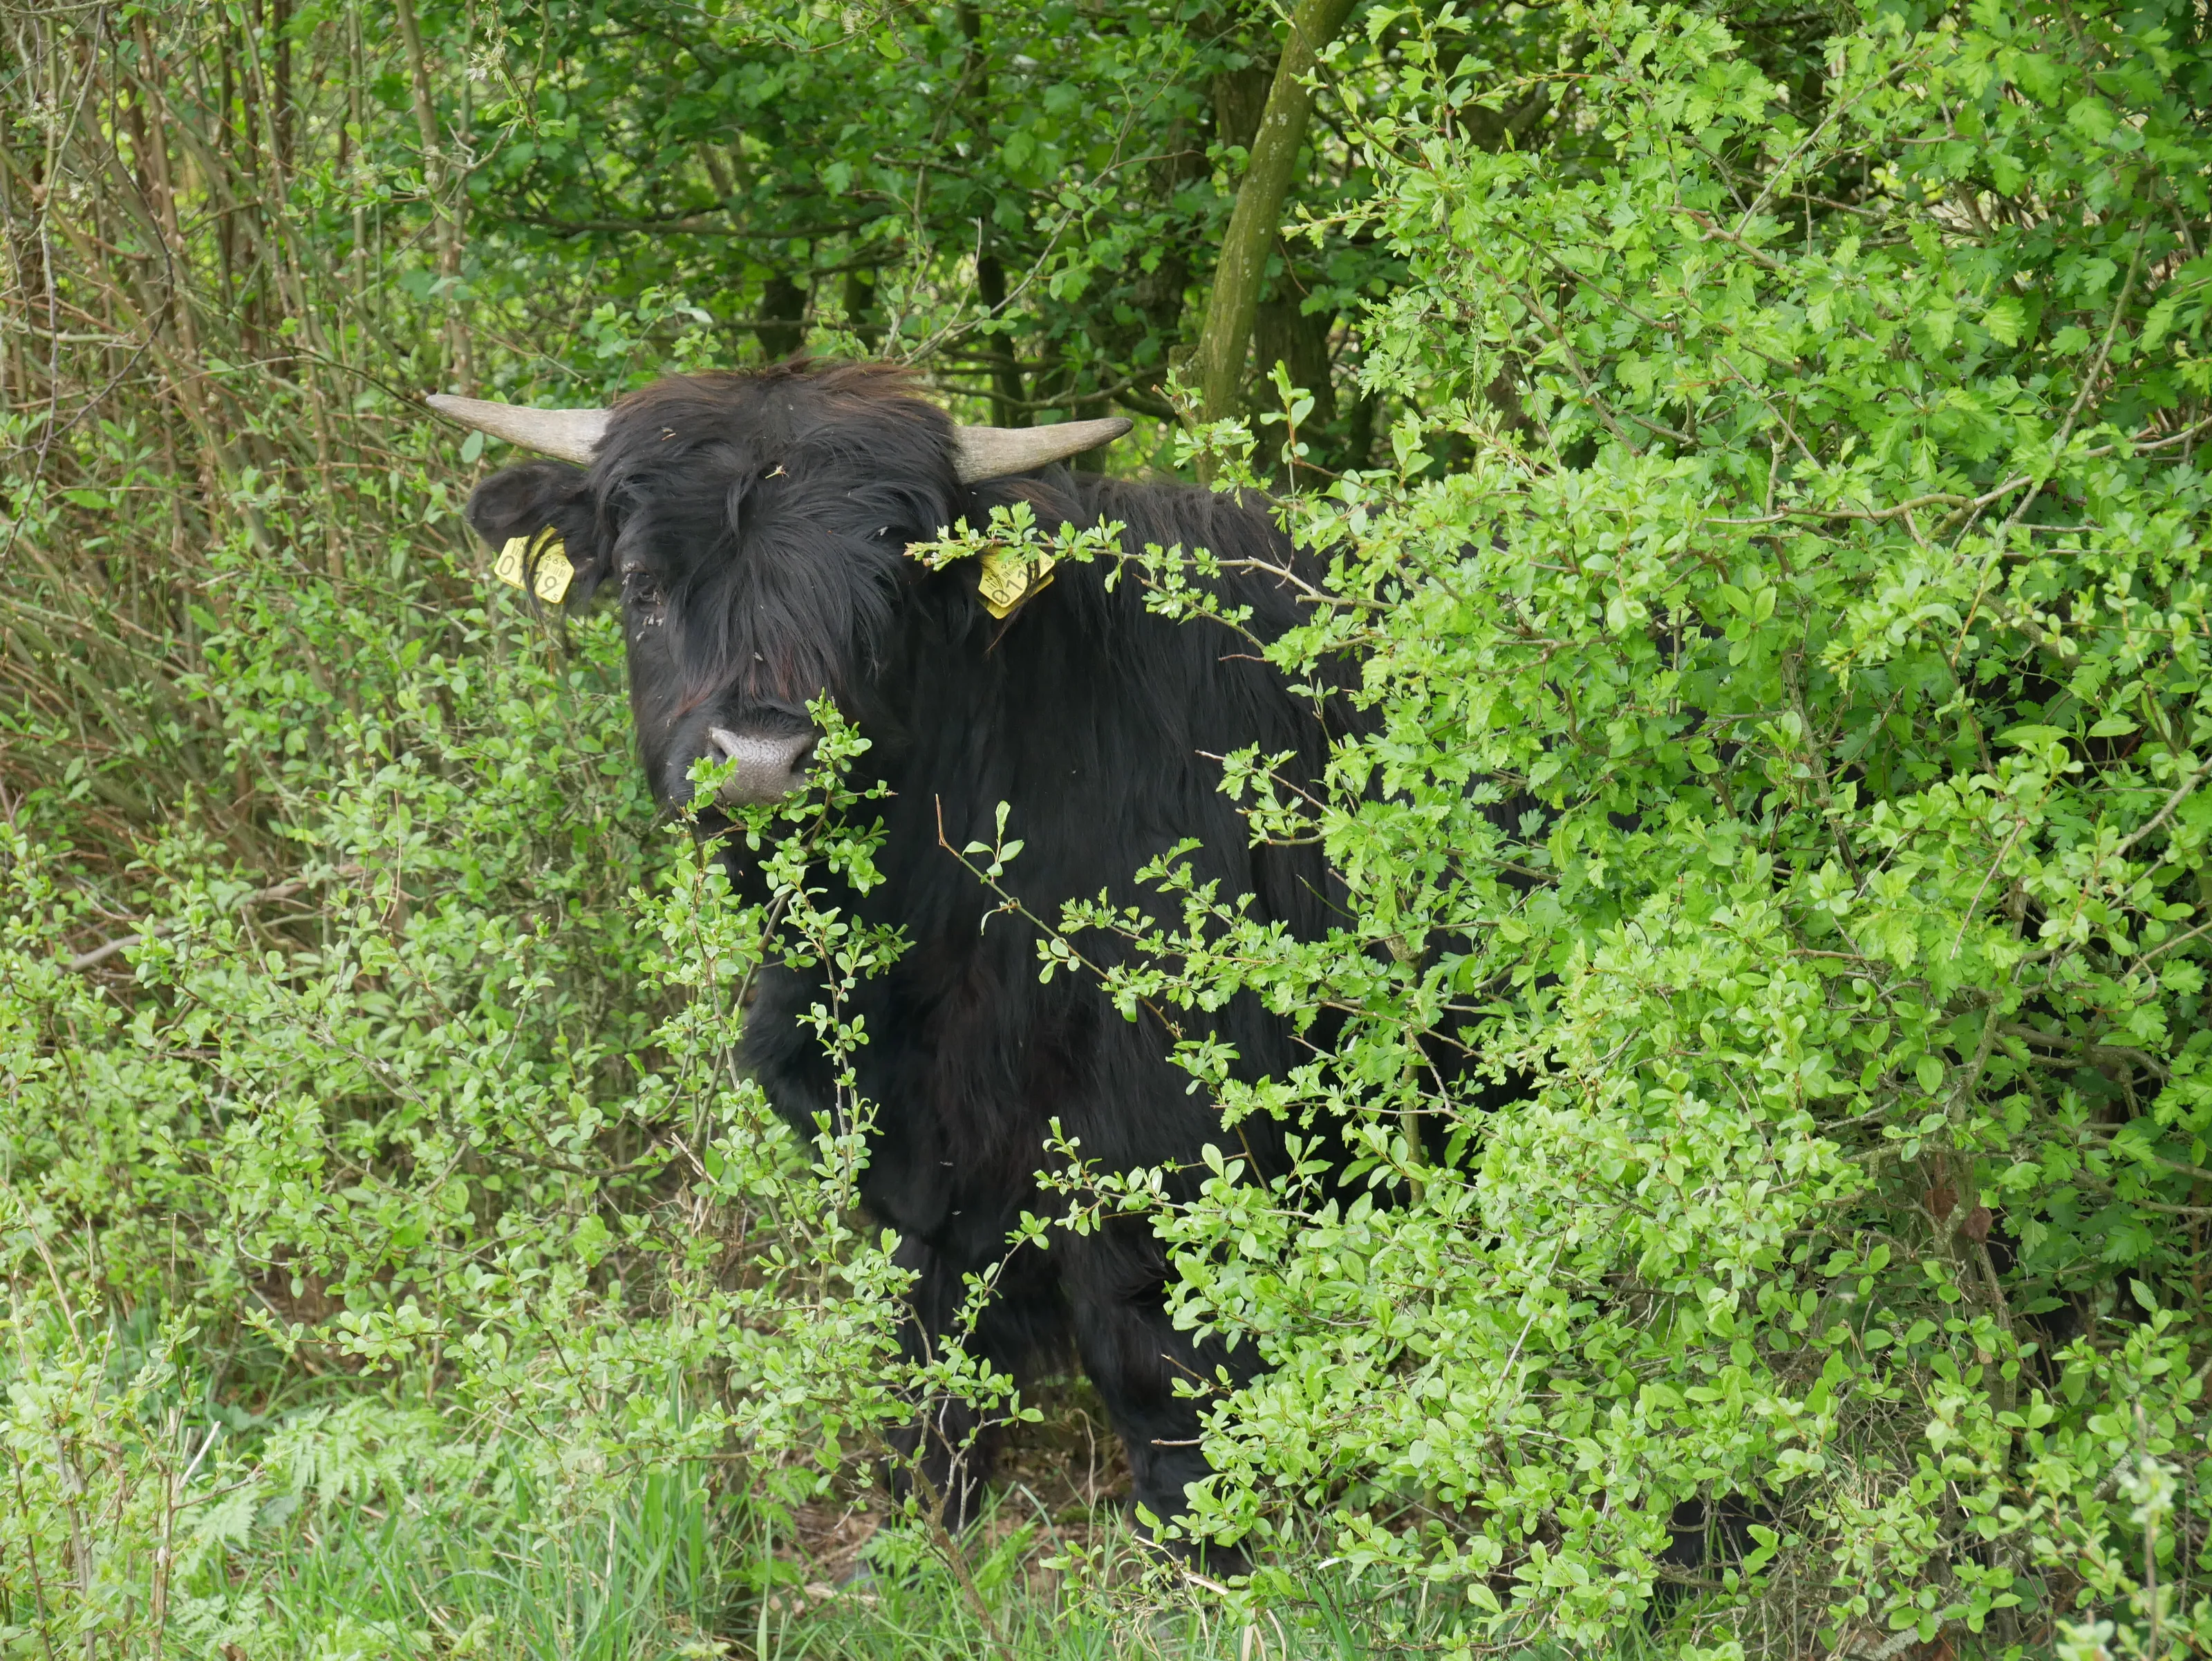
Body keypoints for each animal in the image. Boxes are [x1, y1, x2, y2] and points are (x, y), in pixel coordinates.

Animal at [436, 361, 1351, 1556]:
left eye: (888, 588)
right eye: (642, 582)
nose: (760, 757)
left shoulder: (1167, 1121)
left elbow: (1160, 1356)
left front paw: (1202, 1542)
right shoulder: (912, 1153)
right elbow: (932, 1349)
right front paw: (926, 1521)